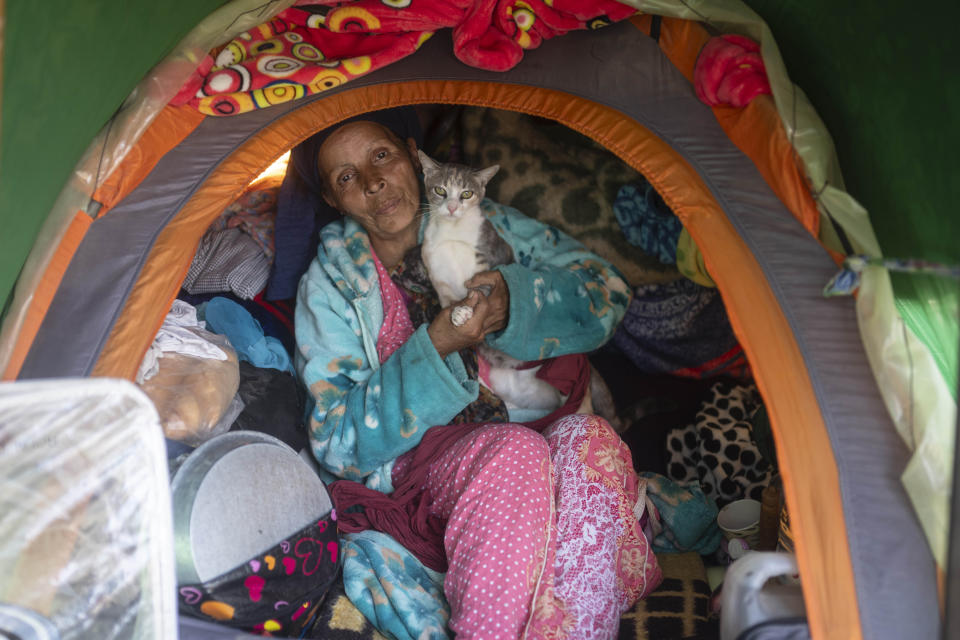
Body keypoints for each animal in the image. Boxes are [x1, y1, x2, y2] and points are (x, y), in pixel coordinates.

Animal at [420, 150, 624, 424]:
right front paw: (458, 313)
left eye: (466, 193)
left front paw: (468, 309)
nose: (452, 207)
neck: (451, 235)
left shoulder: (490, 259)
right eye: (440, 190)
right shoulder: (437, 274)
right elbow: (450, 301)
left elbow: (479, 290)